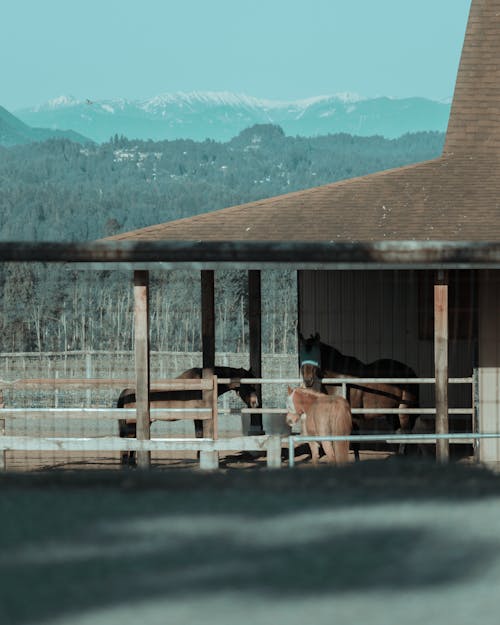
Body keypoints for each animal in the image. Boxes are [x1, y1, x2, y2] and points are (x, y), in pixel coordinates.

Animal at [117, 366, 258, 464]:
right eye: (248, 384)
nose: (255, 403)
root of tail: (126, 392)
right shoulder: (198, 417)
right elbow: (199, 435)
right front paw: (200, 456)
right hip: (132, 424)